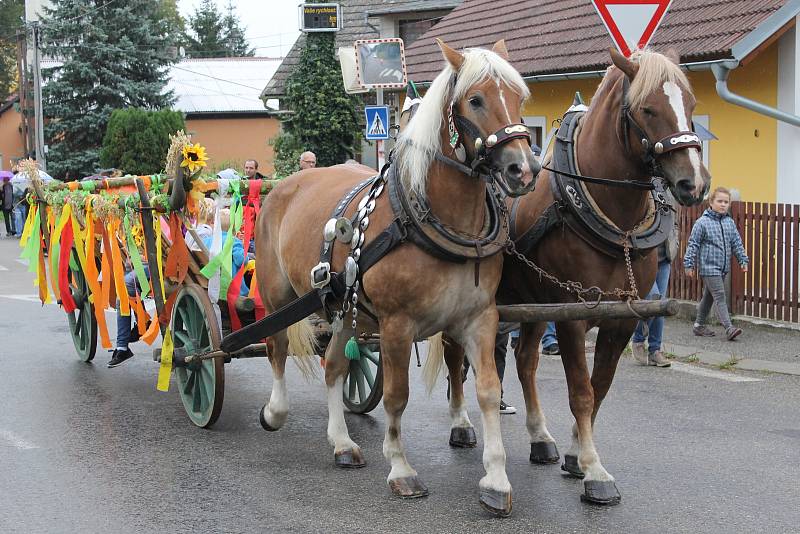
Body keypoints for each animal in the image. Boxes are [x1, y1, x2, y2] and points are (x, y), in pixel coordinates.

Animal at [255, 38, 544, 520]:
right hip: (278, 296)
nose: (522, 169)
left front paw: (496, 478)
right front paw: (401, 469)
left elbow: (487, 389)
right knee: (276, 347)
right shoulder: (395, 325)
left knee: (334, 366)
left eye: (520, 98)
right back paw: (276, 411)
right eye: (476, 99)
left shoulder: (479, 319)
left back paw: (342, 443)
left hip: (344, 310)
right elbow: (396, 396)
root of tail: (285, 184)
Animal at [438, 47, 712, 506]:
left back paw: (539, 437)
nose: (694, 183)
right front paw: (594, 471)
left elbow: (598, 388)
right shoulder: (572, 317)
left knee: (525, 360)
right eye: (647, 108)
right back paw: (460, 423)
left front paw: (573, 455)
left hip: (531, 305)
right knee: (454, 355)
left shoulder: (621, 319)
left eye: (690, 105)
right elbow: (581, 392)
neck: (613, 219)